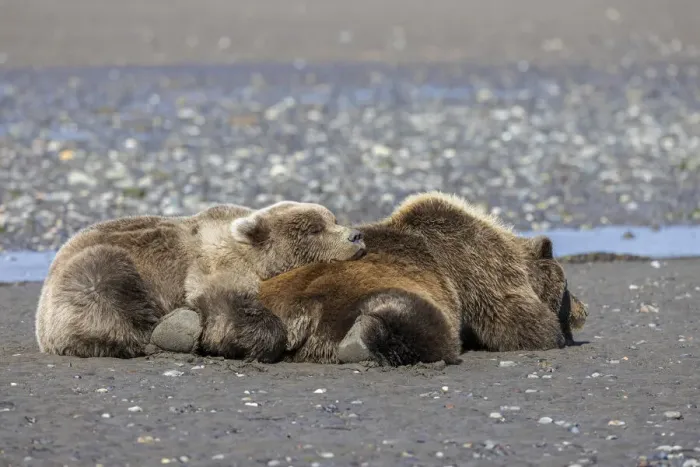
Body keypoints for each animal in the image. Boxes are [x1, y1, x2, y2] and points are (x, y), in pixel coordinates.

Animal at [34, 201, 366, 361]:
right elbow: (226, 307)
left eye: (333, 219)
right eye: (314, 229)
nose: (356, 235)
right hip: (97, 269)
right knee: (105, 286)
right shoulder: (214, 266)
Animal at [253, 191, 589, 366]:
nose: (583, 309)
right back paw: (363, 337)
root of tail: (300, 313)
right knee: (425, 325)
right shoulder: (480, 265)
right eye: (568, 287)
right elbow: (516, 319)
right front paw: (551, 335)